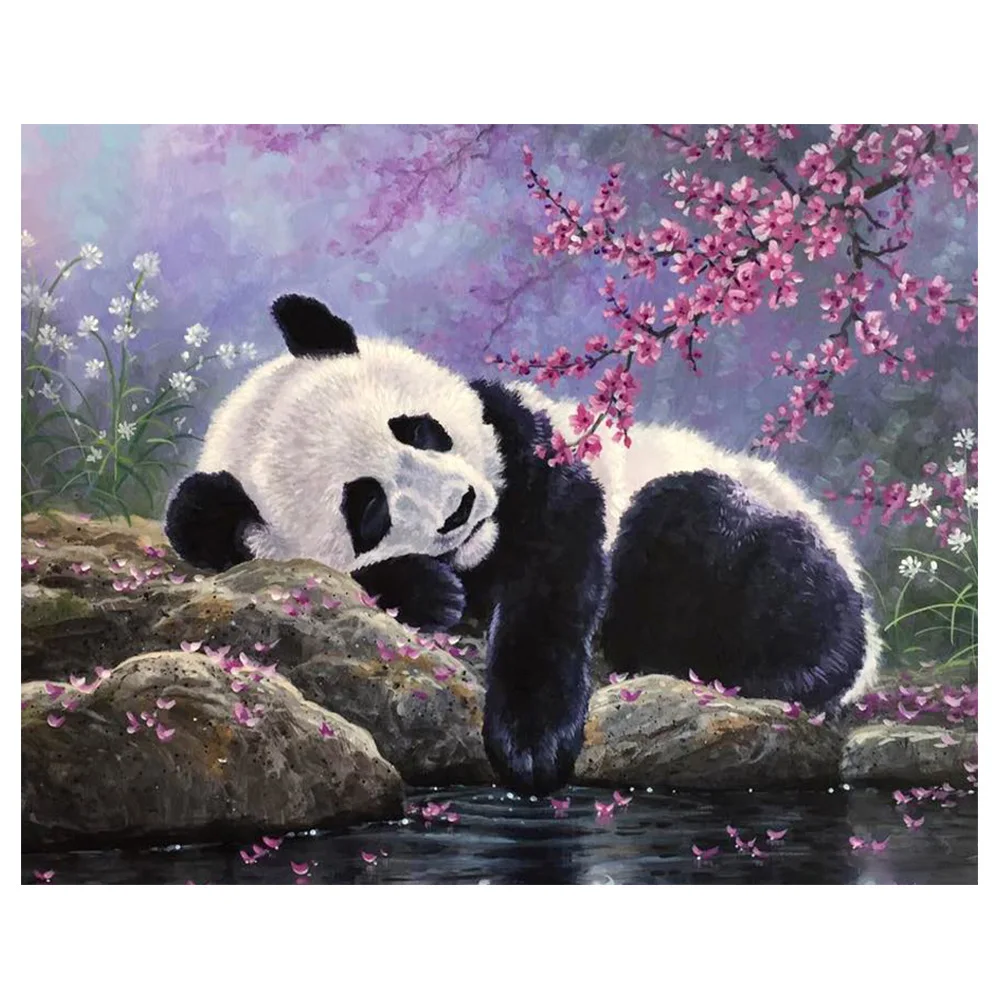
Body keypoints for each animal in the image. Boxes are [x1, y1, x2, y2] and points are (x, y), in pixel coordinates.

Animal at [165, 293, 880, 795]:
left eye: (418, 430)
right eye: (368, 508)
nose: (461, 508)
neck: (487, 548)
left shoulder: (542, 448)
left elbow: (555, 572)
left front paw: (532, 742)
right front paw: (429, 592)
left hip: (745, 521)